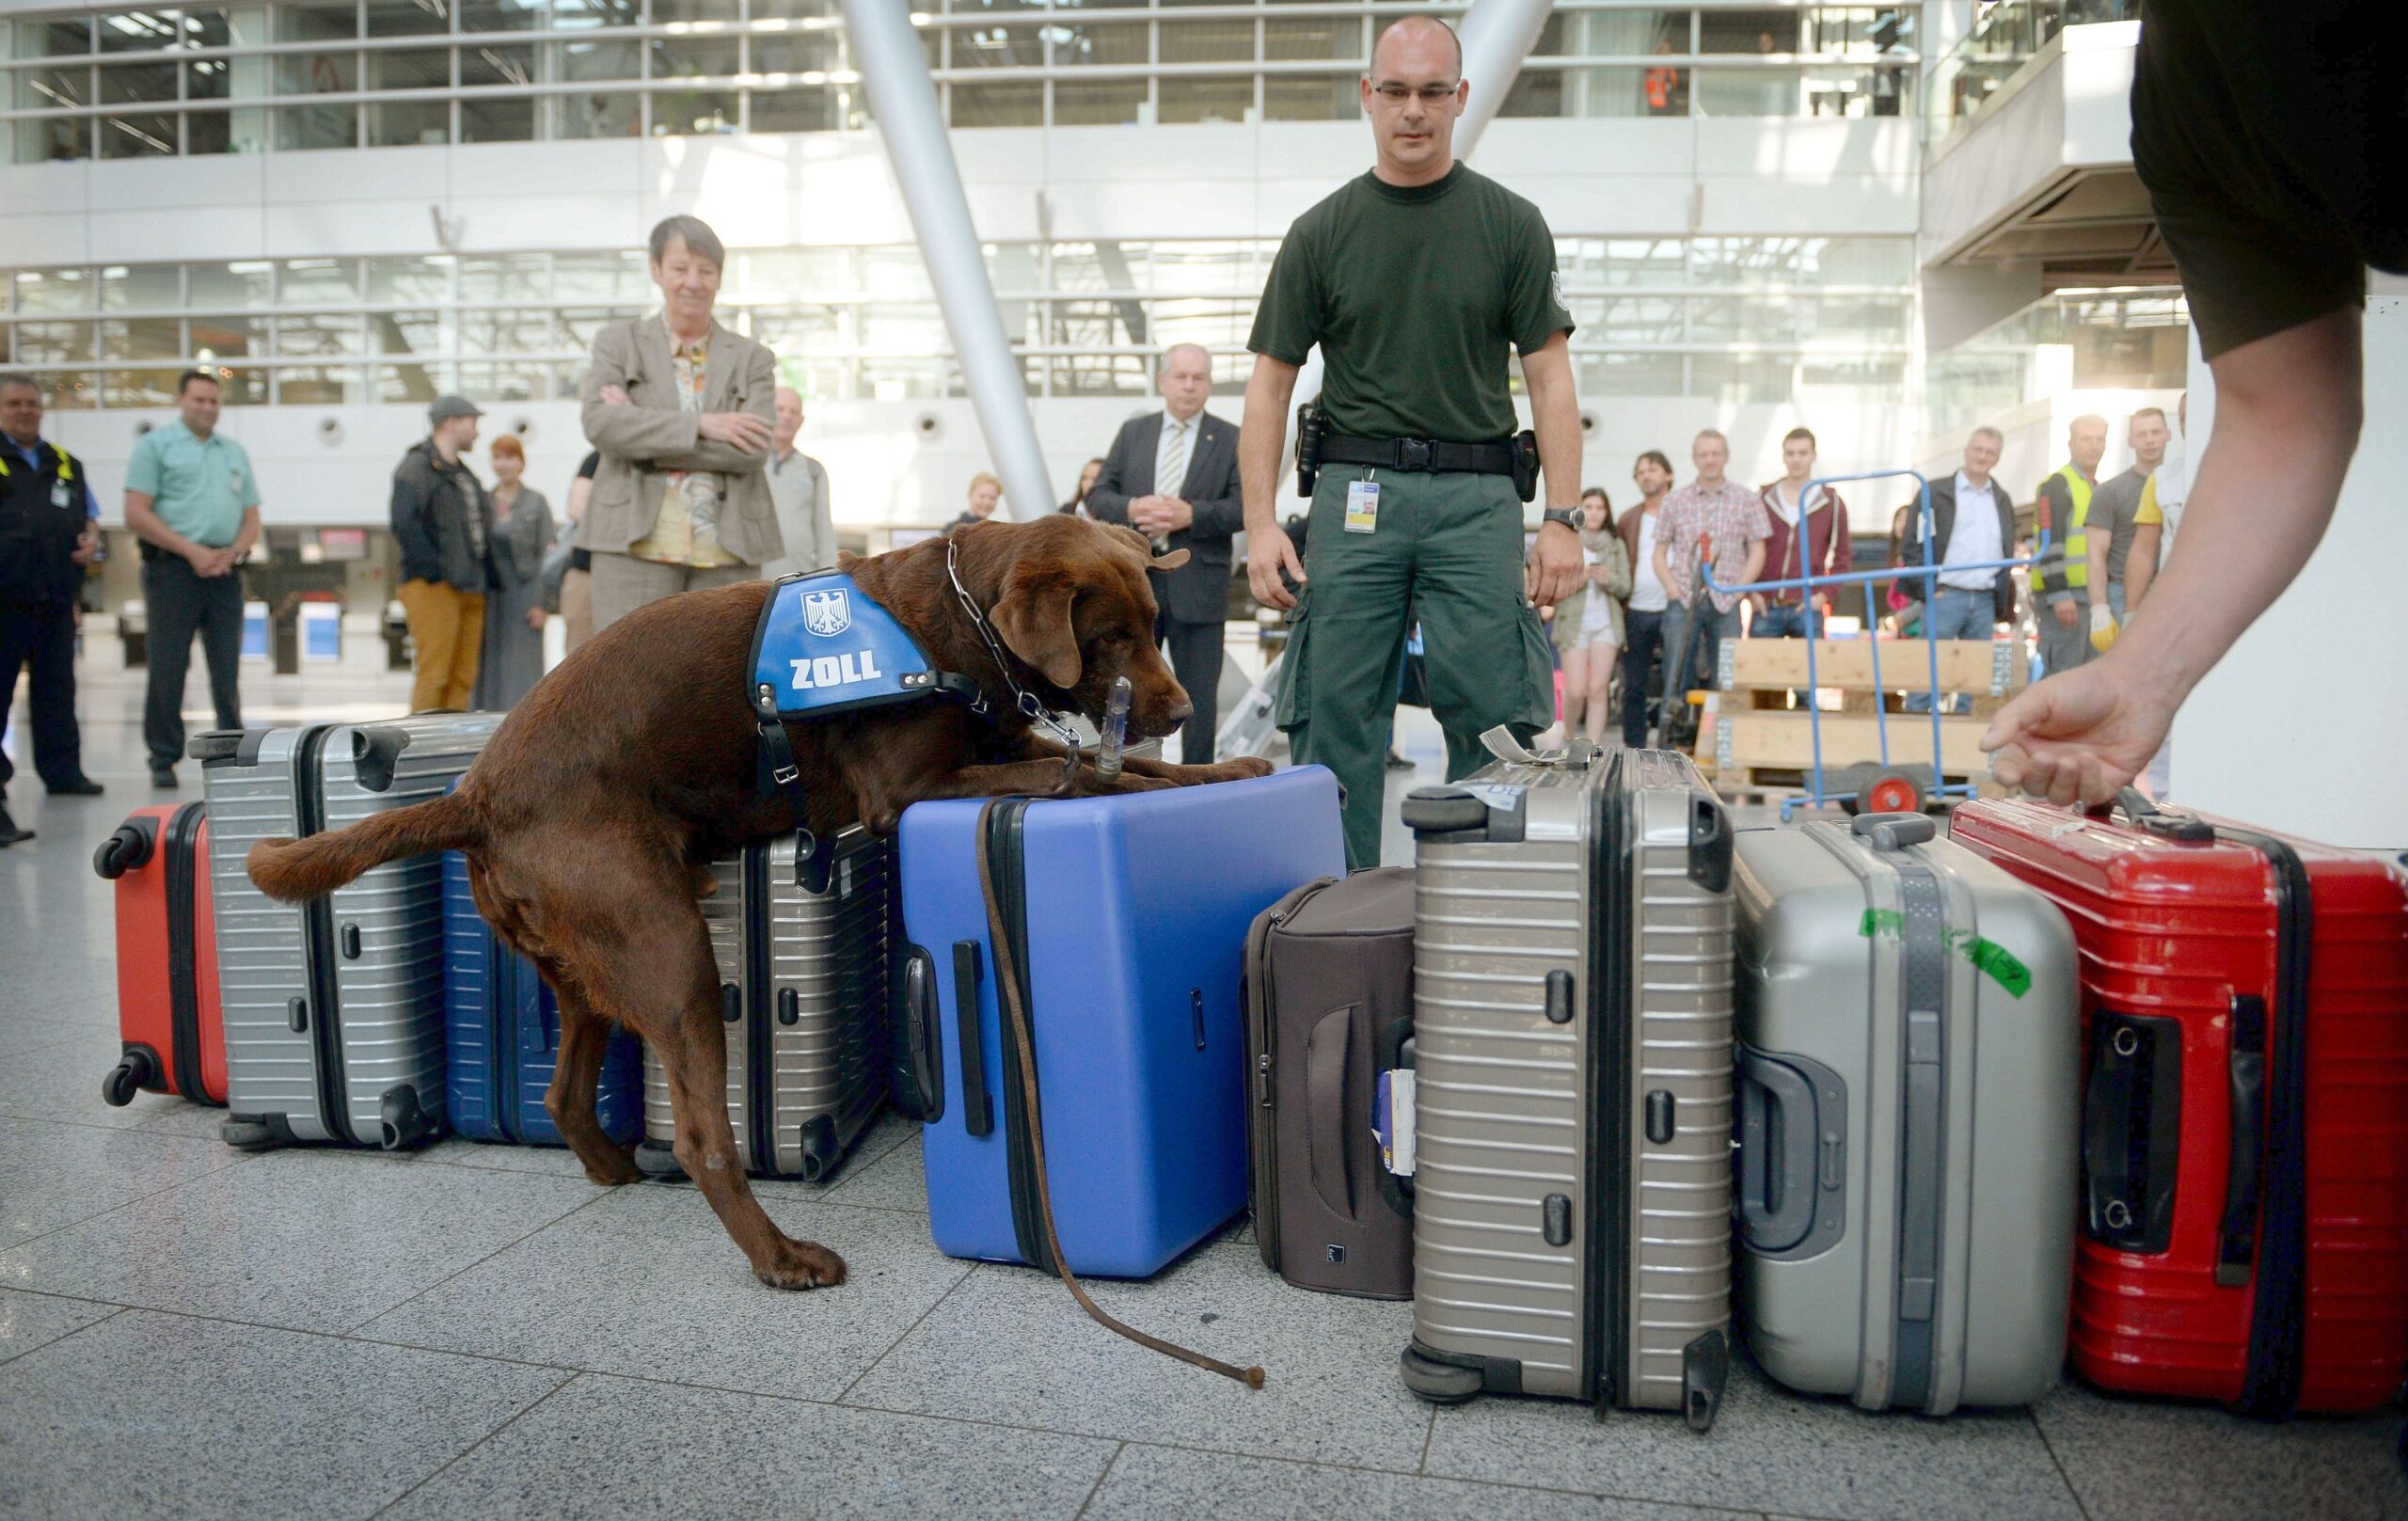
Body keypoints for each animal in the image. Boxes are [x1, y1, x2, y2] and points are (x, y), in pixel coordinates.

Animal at [242, 517, 1271, 1290]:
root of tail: (476, 796)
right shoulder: (908, 790)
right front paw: (1189, 773)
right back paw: (780, 1256)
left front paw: (1232, 767)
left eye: (1154, 622)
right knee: (703, 1139)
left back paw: (614, 1167)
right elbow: (1092, 775)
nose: (1183, 709)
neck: (954, 624)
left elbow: (1124, 765)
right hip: (665, 947)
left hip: (584, 966)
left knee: (566, 1091)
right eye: (1112, 635)